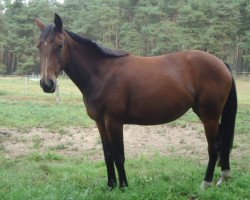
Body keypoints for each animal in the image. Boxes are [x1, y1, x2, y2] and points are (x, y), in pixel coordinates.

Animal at [34, 14, 236, 189]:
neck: (102, 73)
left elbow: (119, 156)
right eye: (39, 46)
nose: (47, 84)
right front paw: (110, 185)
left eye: (59, 45)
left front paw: (123, 186)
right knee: (221, 142)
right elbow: (108, 155)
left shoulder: (114, 122)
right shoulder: (100, 123)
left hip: (209, 115)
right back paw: (223, 177)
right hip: (205, 114)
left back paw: (206, 183)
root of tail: (222, 63)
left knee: (214, 147)